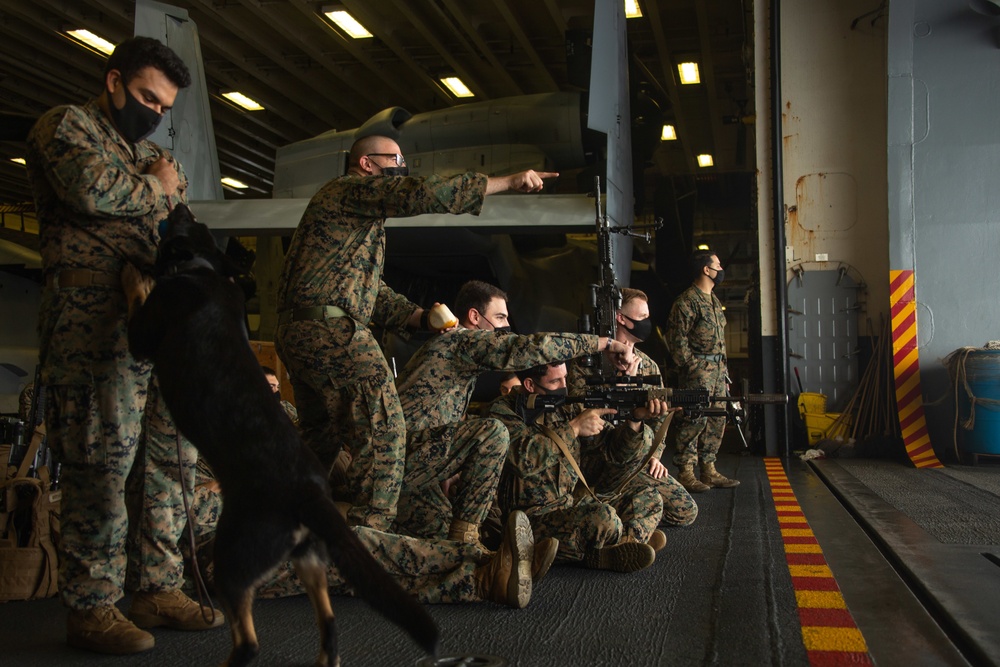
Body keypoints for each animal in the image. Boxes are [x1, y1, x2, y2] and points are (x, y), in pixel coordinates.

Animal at [124, 205, 438, 667]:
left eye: (189, 223)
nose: (179, 205)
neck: (203, 270)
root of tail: (309, 492)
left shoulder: (143, 336)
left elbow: (136, 303)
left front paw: (136, 275)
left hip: (234, 557)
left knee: (248, 641)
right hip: (309, 559)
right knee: (329, 624)